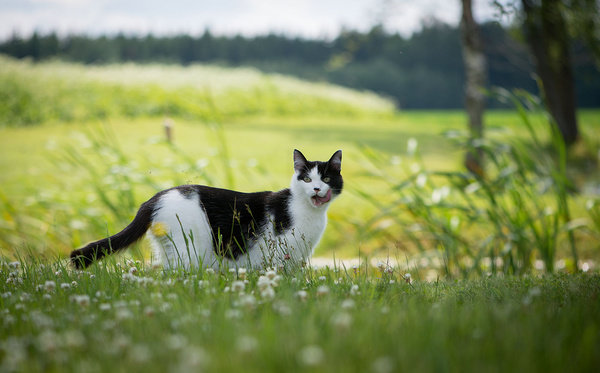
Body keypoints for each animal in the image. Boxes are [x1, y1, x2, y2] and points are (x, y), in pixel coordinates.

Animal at [70, 149, 342, 270]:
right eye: (306, 179)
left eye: (327, 179)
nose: (316, 188)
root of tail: (154, 198)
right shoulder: (282, 255)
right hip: (188, 250)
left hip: (169, 250)